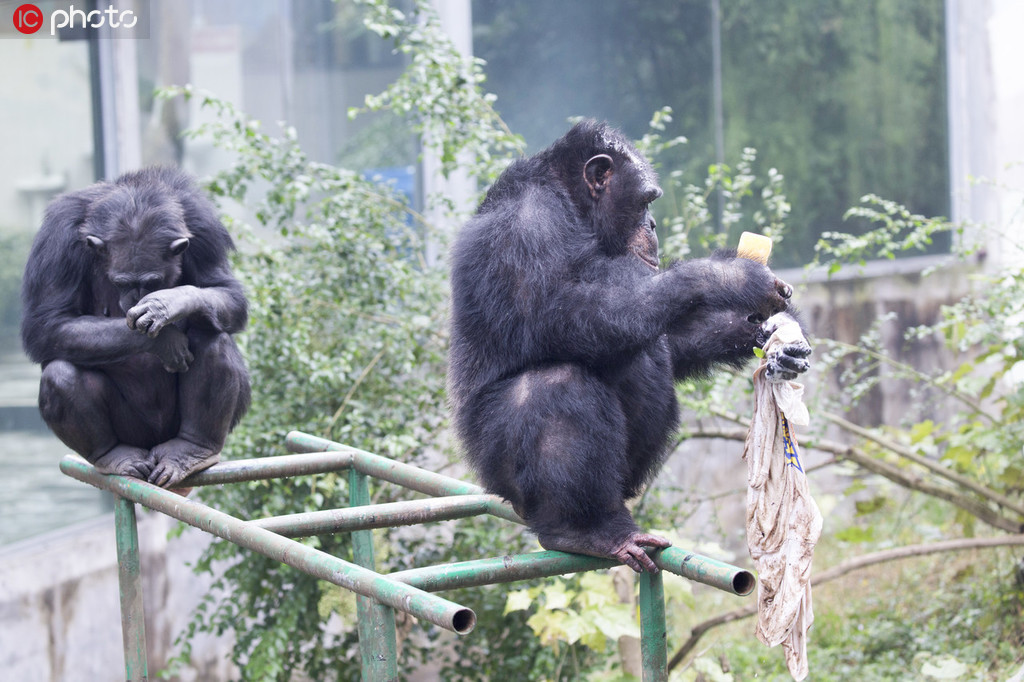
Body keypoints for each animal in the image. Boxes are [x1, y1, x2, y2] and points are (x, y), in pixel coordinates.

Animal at [22, 164, 249, 485]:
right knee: (60, 373)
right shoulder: (57, 238)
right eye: (122, 282)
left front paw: (171, 302)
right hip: (134, 433)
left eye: (152, 282)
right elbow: (48, 322)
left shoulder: (205, 228)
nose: (135, 296)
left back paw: (192, 448)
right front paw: (163, 342)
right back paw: (113, 455)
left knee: (212, 338)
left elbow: (225, 289)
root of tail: (153, 447)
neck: (134, 201)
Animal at [452, 119, 811, 569]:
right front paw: (728, 275)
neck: (571, 204)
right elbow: (564, 312)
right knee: (554, 385)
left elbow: (670, 341)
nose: (653, 225)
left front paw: (777, 336)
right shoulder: (526, 226)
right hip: (493, 466)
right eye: (645, 202)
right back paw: (586, 530)